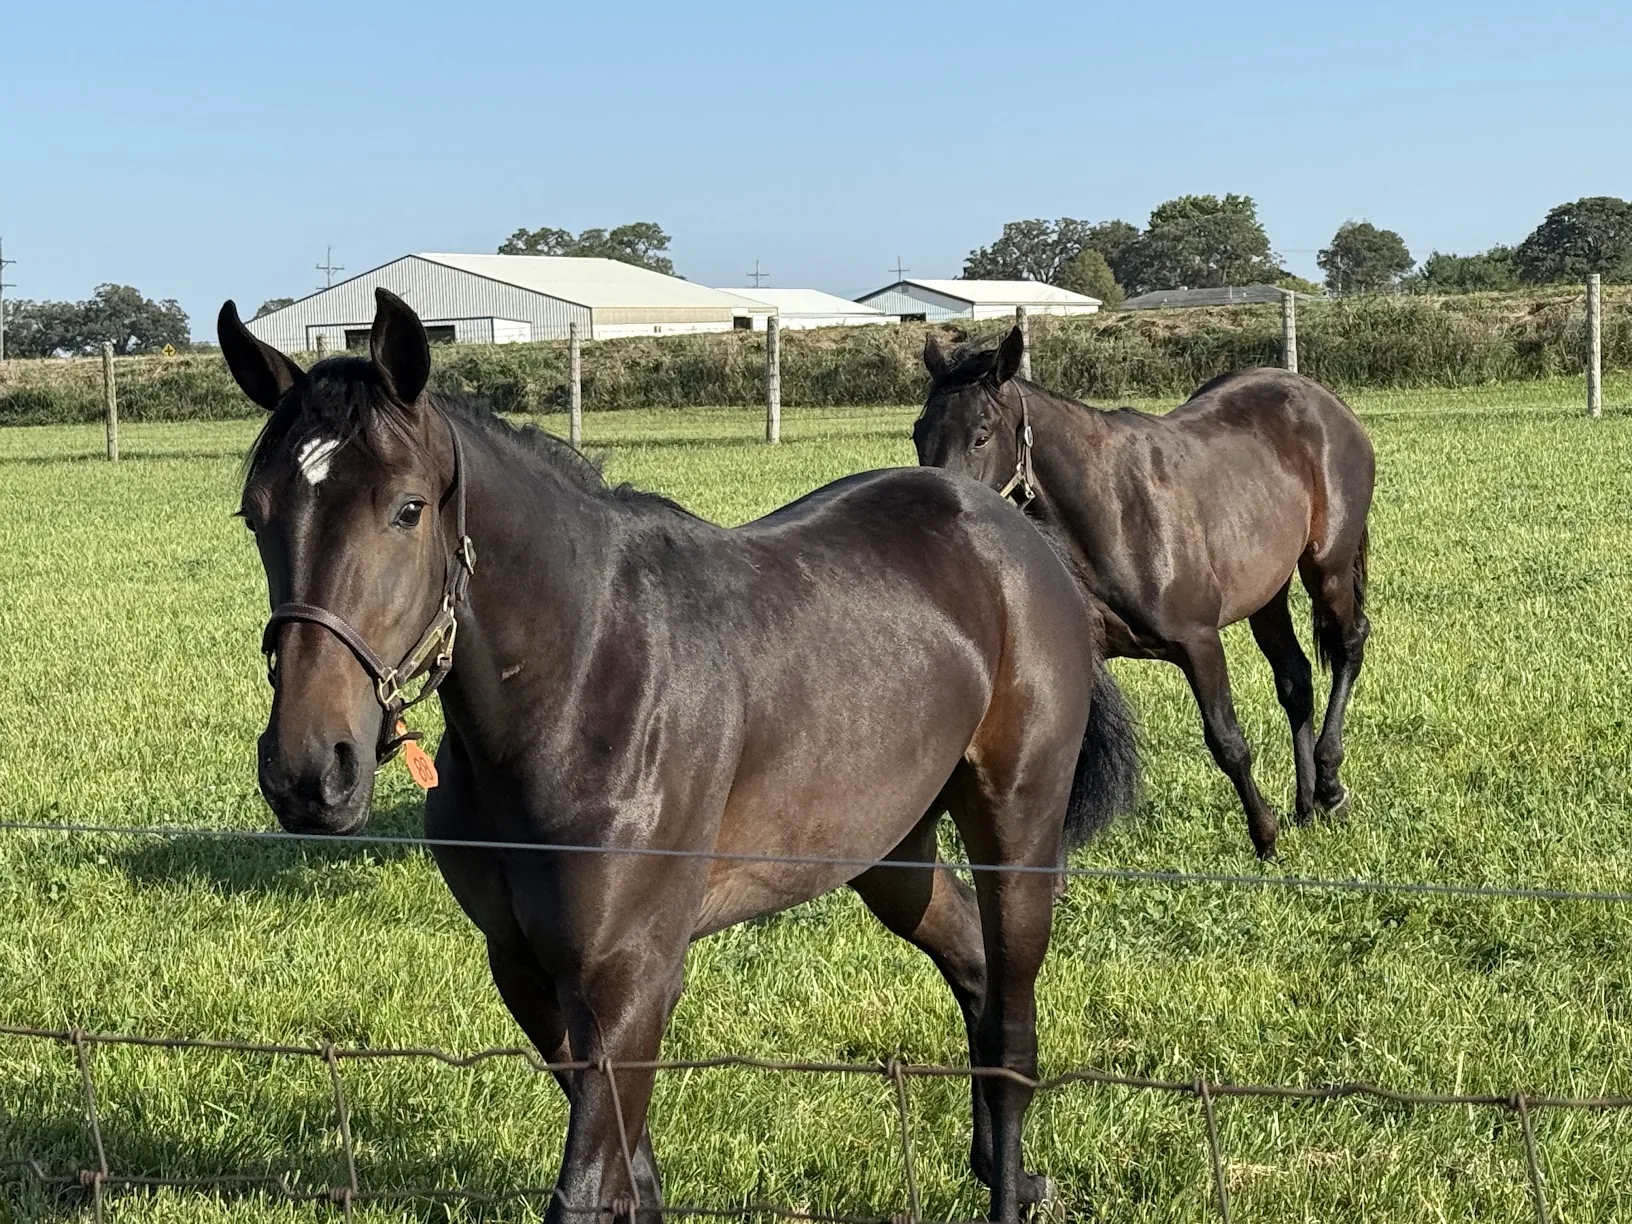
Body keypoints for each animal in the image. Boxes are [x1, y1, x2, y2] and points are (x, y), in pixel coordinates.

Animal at [220, 289, 1142, 1223]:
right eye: (256, 515)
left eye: (407, 509)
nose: (310, 770)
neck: (581, 683)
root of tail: (1010, 531)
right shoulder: (526, 970)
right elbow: (633, 1179)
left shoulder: (629, 978)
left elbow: (587, 1189)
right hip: (890, 850)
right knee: (977, 977)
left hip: (1015, 827)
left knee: (1013, 1034)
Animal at [913, 327, 1373, 859]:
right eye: (918, 432)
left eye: (981, 435)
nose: (934, 514)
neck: (1112, 511)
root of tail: (1324, 400)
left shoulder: (1199, 642)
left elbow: (1228, 743)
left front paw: (1264, 836)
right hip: (1268, 594)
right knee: (1295, 679)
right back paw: (1305, 803)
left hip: (1328, 567)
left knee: (1349, 644)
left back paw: (1330, 786)